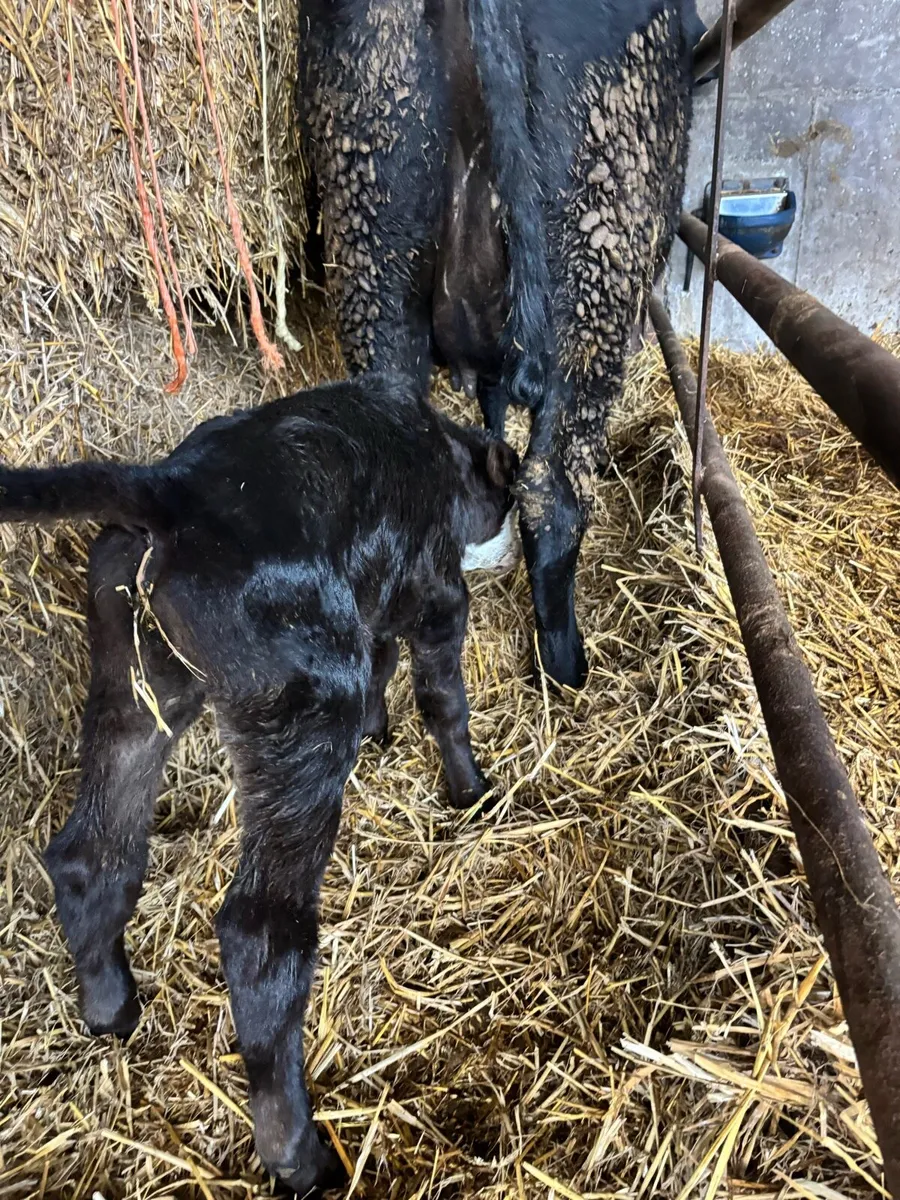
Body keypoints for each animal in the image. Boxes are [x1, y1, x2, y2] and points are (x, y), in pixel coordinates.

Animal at [0, 372, 518, 1195]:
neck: (438, 451)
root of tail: (173, 490)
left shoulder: (374, 605)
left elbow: (384, 666)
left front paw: (381, 734)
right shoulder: (436, 595)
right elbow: (443, 697)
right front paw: (470, 789)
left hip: (137, 686)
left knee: (92, 859)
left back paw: (112, 1011)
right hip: (303, 710)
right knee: (260, 939)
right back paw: (301, 1158)